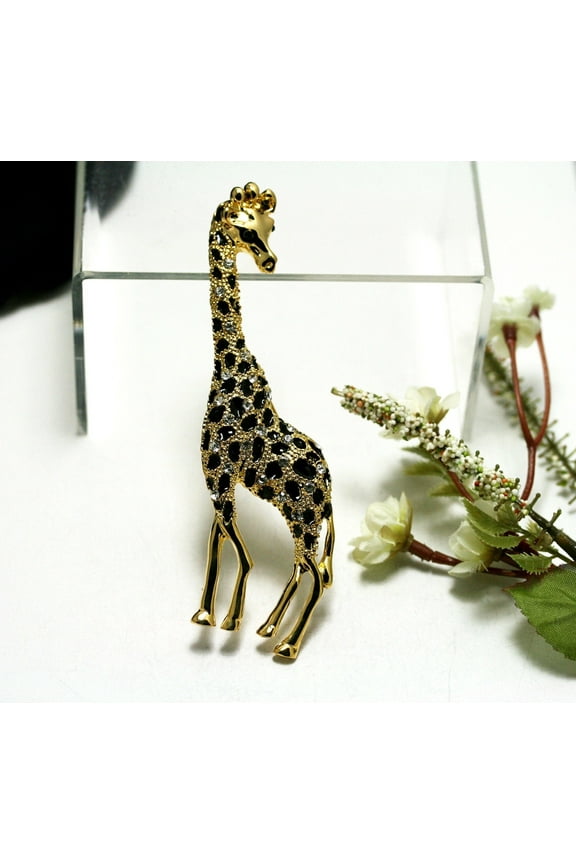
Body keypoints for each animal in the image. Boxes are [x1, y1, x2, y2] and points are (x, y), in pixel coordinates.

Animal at [192, 182, 335, 660]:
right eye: (246, 228)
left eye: (270, 228)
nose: (270, 263)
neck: (225, 366)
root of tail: (330, 485)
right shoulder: (219, 480)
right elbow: (217, 542)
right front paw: (206, 614)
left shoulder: (217, 476)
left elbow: (241, 552)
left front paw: (227, 619)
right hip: (302, 521)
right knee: (304, 569)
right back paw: (269, 629)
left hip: (303, 517)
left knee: (319, 575)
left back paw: (287, 645)